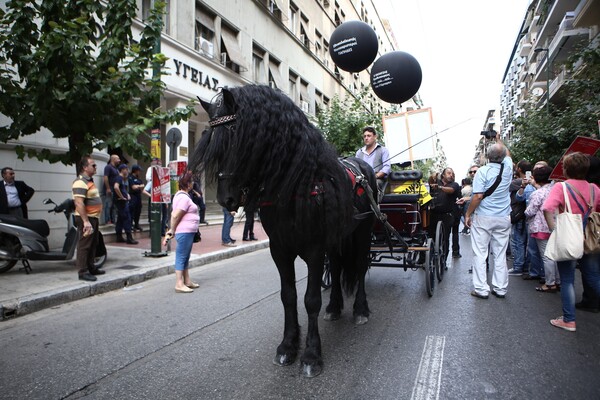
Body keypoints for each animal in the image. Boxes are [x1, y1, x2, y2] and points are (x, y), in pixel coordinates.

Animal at [192, 86, 378, 376]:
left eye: (236, 134)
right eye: (211, 139)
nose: (226, 200)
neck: (294, 186)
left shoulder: (314, 250)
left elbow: (311, 299)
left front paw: (311, 355)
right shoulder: (280, 249)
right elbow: (288, 296)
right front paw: (288, 346)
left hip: (362, 233)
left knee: (358, 267)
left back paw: (360, 309)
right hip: (338, 237)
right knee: (337, 268)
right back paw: (335, 307)